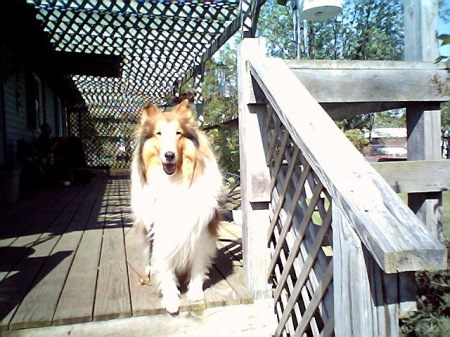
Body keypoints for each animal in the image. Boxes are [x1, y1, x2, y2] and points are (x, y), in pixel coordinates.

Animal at [130, 99, 223, 312]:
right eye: (158, 133)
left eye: (178, 133)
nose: (169, 155)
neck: (174, 181)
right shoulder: (160, 233)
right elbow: (165, 269)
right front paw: (171, 299)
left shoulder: (201, 232)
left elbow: (198, 265)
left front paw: (195, 292)